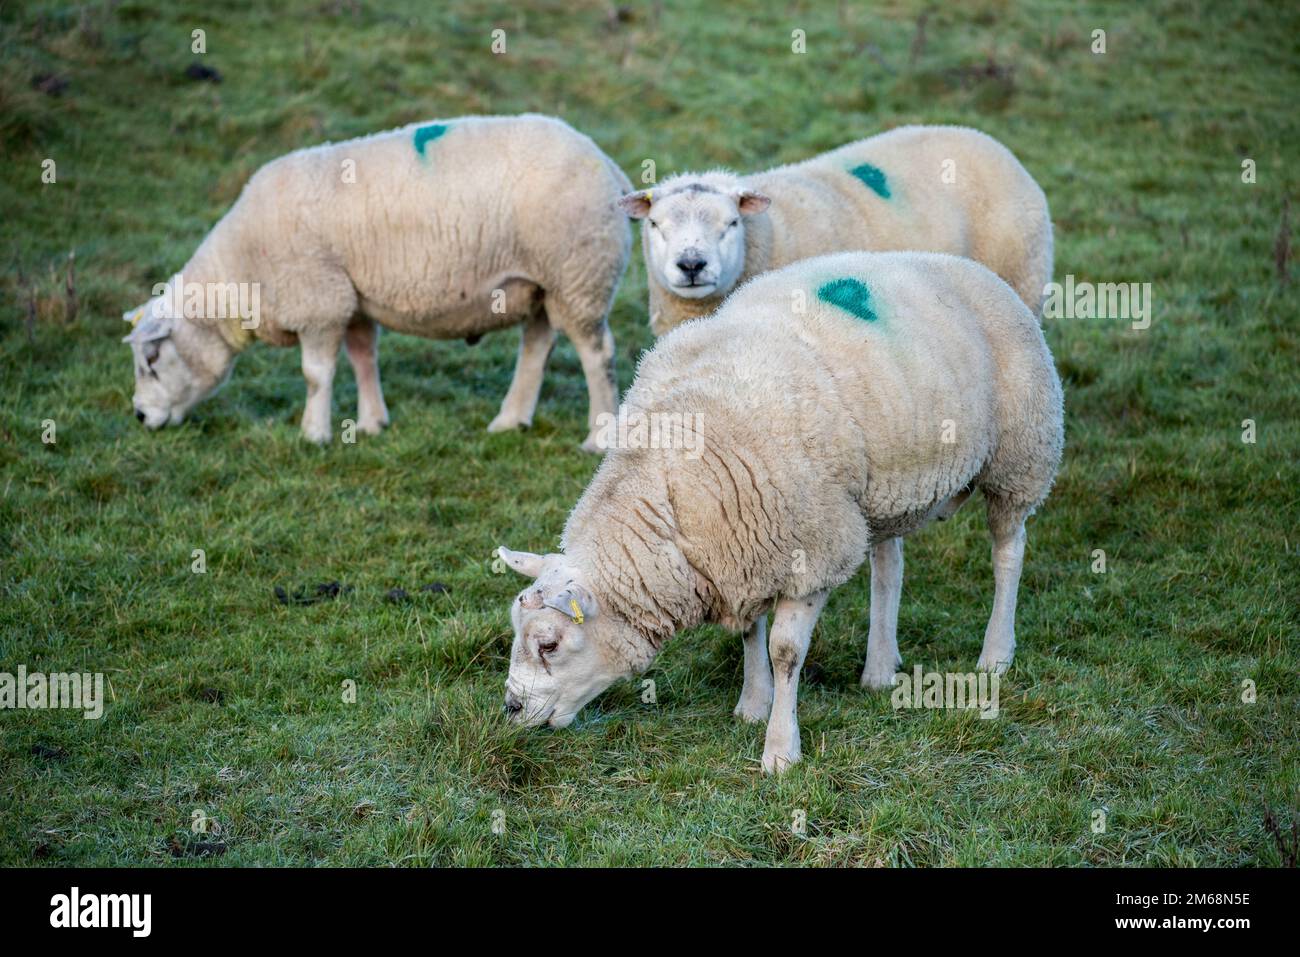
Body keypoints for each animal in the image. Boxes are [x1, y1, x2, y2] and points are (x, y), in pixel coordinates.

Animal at [122, 113, 632, 451]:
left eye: (152, 359)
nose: (140, 415)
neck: (241, 272)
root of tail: (609, 164)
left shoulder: (319, 301)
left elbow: (316, 374)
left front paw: (314, 434)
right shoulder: (350, 300)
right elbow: (363, 357)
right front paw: (370, 424)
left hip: (580, 274)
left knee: (597, 355)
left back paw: (599, 436)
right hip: (544, 284)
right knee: (537, 347)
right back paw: (511, 421)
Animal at [497, 250, 1064, 774]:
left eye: (549, 644)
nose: (510, 709)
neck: (670, 499)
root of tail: (967, 265)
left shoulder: (808, 551)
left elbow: (786, 652)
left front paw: (780, 749)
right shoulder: (739, 556)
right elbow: (751, 633)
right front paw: (752, 703)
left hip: (1020, 455)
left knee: (1008, 553)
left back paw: (995, 654)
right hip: (880, 496)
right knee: (888, 567)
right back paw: (880, 668)